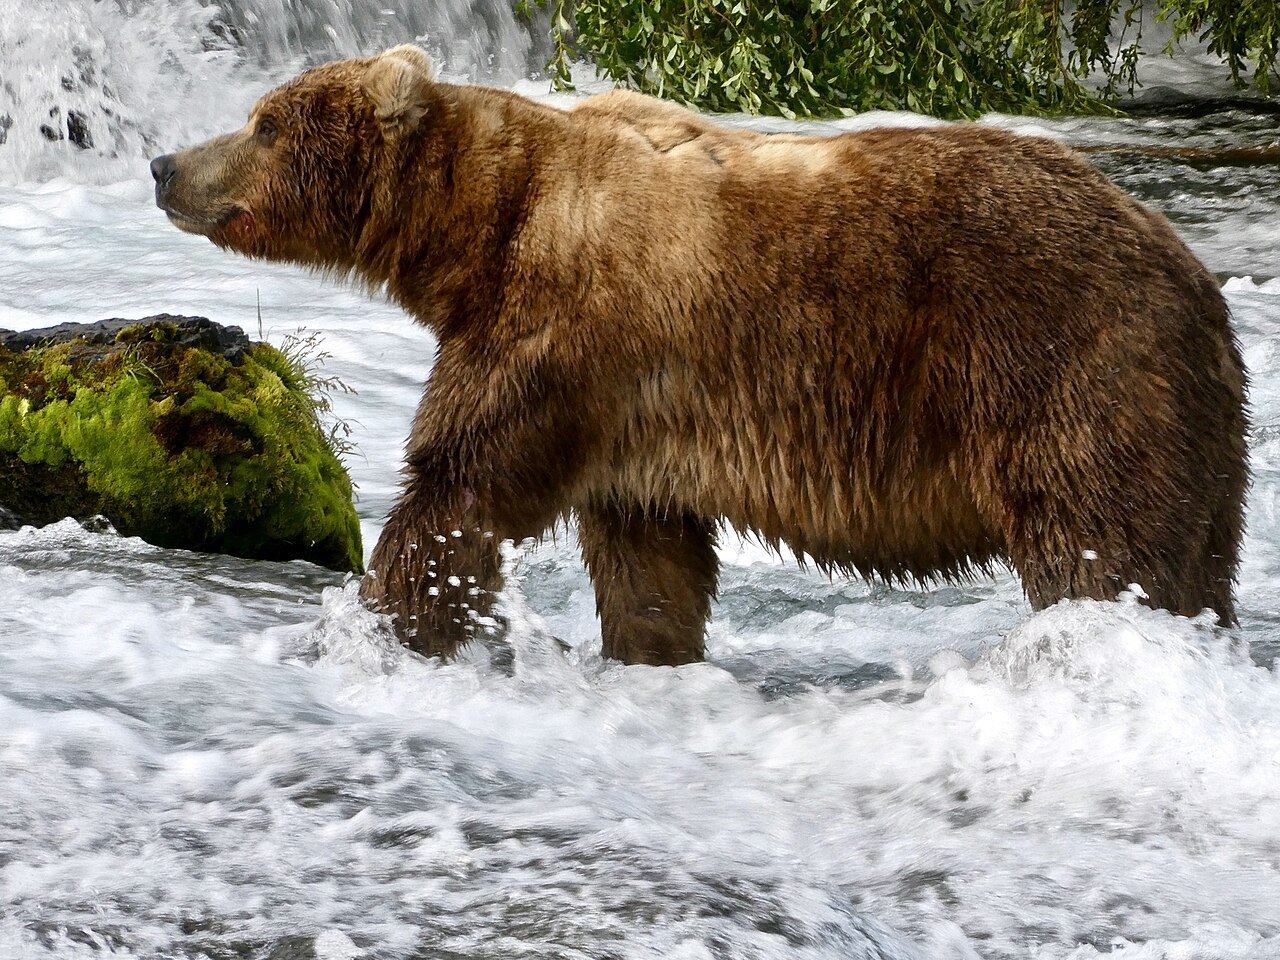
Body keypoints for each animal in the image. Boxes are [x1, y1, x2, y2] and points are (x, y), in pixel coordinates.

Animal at [151, 45, 1248, 666]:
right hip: (1198, 442)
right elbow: (648, 558)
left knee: (1098, 553)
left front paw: (379, 624)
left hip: (1065, 371)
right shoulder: (629, 415)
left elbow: (460, 484)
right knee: (1194, 570)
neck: (481, 230)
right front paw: (650, 653)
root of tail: (1197, 281)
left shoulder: (560, 333)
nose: (164, 163)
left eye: (262, 121)